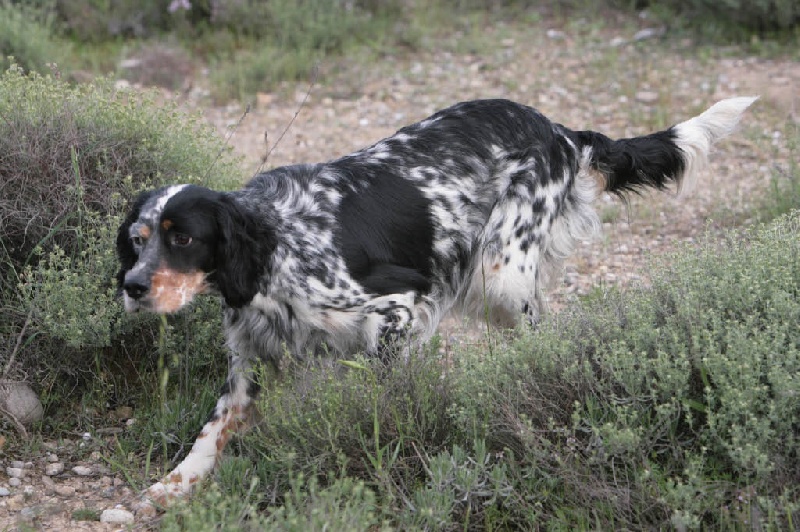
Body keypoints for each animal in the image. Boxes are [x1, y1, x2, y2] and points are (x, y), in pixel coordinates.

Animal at [115, 95, 752, 508]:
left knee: (538, 337)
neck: (276, 248)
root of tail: (559, 130)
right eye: (138, 239)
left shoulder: (398, 305)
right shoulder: (251, 359)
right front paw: (167, 490)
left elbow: (381, 402)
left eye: (183, 238)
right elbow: (210, 435)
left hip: (502, 273)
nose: (134, 287)